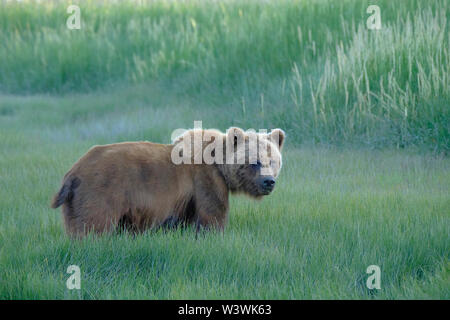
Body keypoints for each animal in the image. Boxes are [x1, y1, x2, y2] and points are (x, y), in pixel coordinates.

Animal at [51, 126, 284, 236]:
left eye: (272, 160)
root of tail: (73, 172)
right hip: (101, 191)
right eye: (254, 161)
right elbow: (212, 216)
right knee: (92, 226)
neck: (218, 163)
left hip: (74, 201)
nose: (268, 182)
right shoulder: (206, 181)